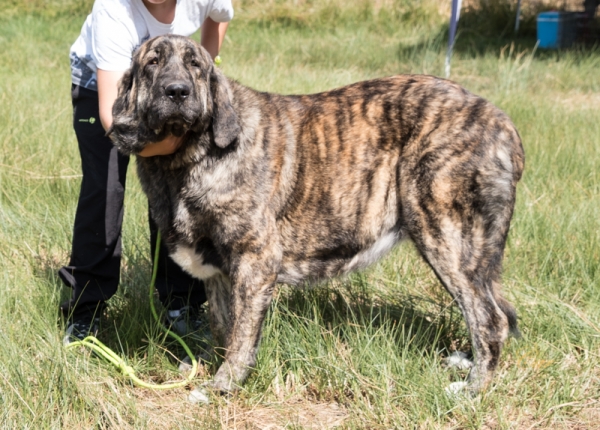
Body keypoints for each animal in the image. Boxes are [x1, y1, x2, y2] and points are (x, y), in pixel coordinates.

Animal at [109, 35, 524, 394]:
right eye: (152, 63)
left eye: (195, 65)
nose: (177, 91)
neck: (189, 157)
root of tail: (503, 122)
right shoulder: (220, 272)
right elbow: (223, 323)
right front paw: (212, 362)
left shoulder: (254, 260)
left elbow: (242, 332)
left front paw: (223, 384)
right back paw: (467, 364)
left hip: (446, 236)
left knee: (489, 319)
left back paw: (471, 389)